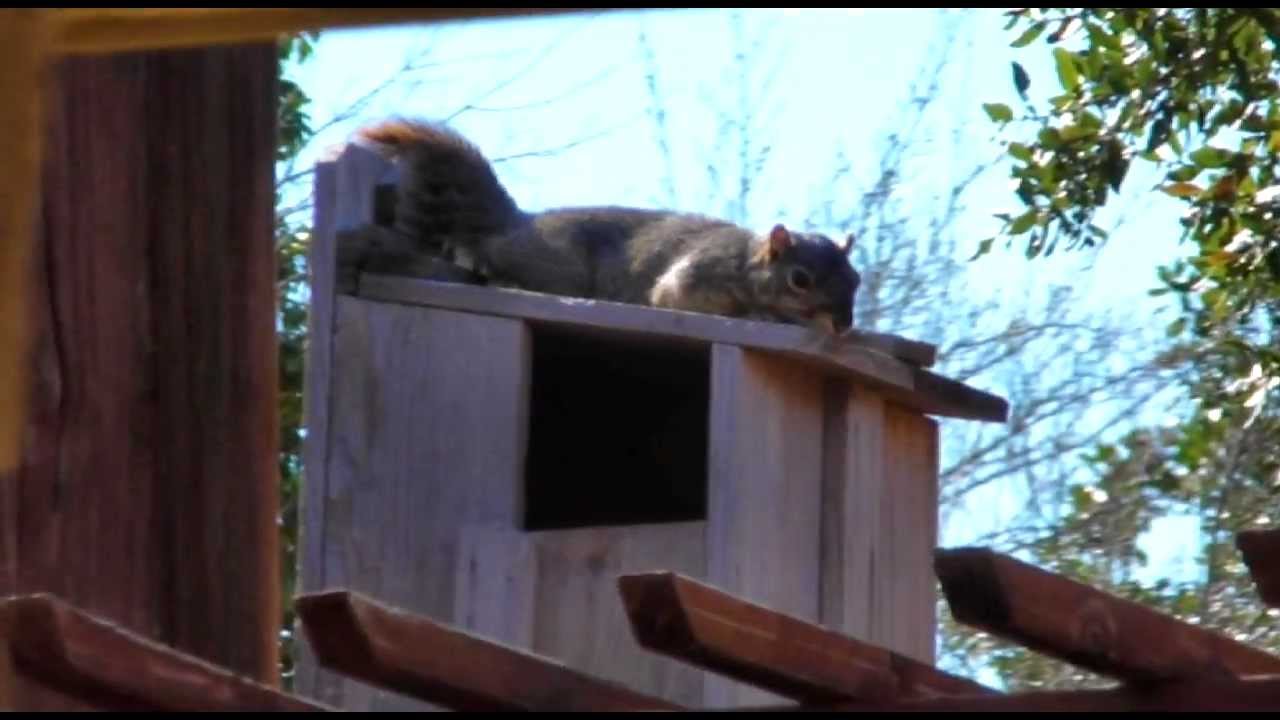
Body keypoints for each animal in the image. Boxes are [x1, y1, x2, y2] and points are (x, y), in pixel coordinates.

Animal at [354, 118, 862, 334]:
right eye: (799, 279)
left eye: (856, 280)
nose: (843, 324)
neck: (746, 262)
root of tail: (517, 222)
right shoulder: (700, 276)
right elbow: (678, 297)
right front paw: (765, 315)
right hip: (556, 266)